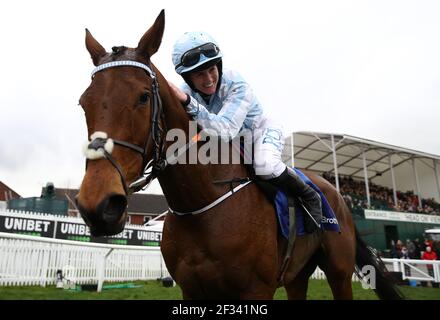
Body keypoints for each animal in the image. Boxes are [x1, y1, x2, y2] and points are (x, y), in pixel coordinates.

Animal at [75, 10, 402, 300]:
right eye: (83, 102)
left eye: (143, 97)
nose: (98, 205)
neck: (201, 207)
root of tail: (337, 194)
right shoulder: (192, 290)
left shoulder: (256, 289)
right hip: (297, 275)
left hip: (339, 271)